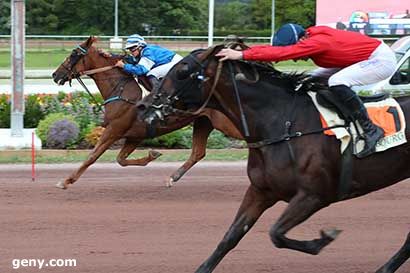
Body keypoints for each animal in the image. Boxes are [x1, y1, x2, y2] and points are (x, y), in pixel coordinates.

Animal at [50, 36, 240, 189]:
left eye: (74, 54)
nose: (55, 75)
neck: (122, 90)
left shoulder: (114, 130)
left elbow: (92, 156)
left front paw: (66, 181)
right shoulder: (135, 135)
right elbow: (121, 160)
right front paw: (152, 154)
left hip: (225, 124)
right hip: (204, 122)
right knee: (198, 153)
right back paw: (171, 178)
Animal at [138, 45, 410, 270]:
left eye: (183, 70)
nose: (144, 106)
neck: (282, 125)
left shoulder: (314, 195)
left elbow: (276, 234)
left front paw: (322, 239)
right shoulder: (261, 191)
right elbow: (230, 237)